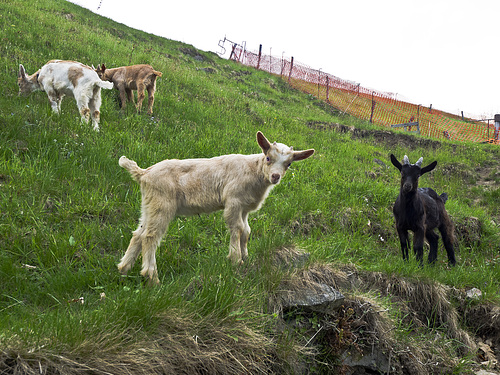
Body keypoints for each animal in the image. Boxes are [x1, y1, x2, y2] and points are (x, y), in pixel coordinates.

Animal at [118, 131, 312, 284]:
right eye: (268, 158)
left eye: (289, 164)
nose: (275, 176)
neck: (254, 171)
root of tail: (144, 173)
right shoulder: (233, 201)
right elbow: (238, 229)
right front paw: (235, 260)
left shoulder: (245, 208)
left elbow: (247, 231)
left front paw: (245, 256)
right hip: (162, 205)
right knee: (150, 236)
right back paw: (152, 277)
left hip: (148, 205)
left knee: (139, 234)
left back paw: (124, 269)